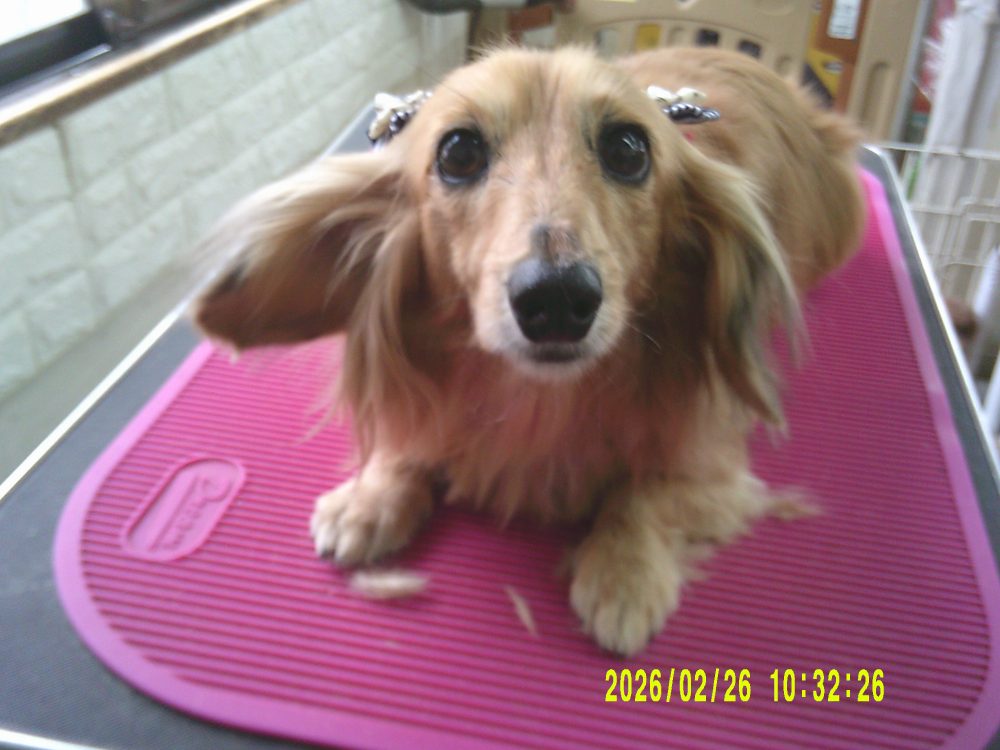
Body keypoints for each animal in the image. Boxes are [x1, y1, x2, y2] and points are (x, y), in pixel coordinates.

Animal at [193, 46, 864, 655]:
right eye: (458, 152)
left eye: (629, 149)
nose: (558, 299)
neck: (537, 399)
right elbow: (412, 442)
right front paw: (370, 499)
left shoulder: (715, 466)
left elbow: (640, 497)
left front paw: (624, 573)